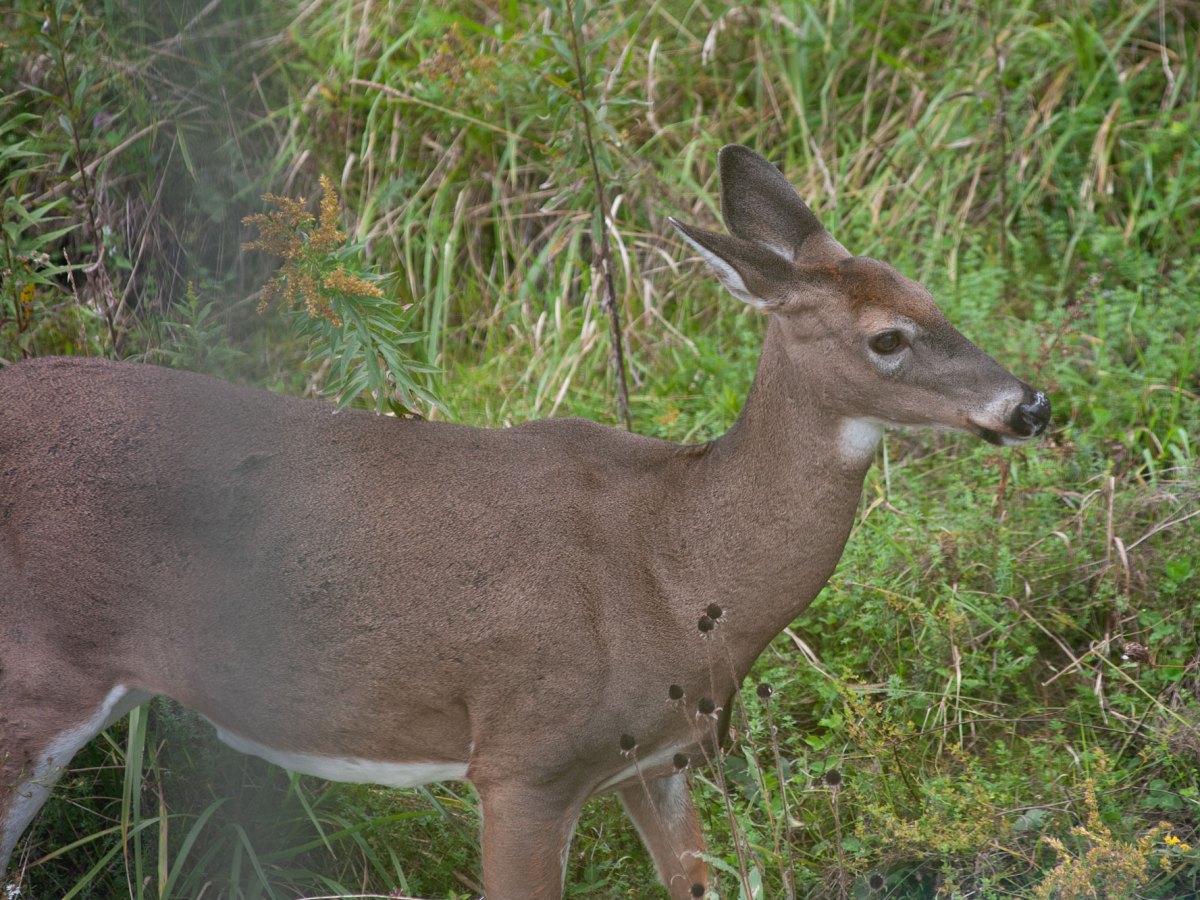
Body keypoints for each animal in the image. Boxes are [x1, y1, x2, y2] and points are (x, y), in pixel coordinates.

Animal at [0, 145, 1049, 898]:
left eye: (935, 298)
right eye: (888, 338)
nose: (1031, 405)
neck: (675, 563)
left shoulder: (655, 758)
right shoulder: (522, 757)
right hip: (36, 673)